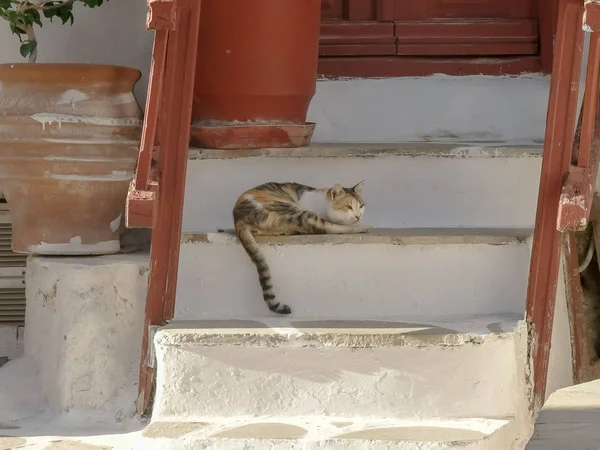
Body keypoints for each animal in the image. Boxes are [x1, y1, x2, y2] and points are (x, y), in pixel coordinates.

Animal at [233, 181, 370, 314]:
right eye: (348, 207)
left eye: (361, 206)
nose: (358, 216)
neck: (324, 206)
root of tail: (238, 219)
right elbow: (331, 225)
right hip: (292, 210)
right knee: (327, 227)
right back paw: (363, 227)